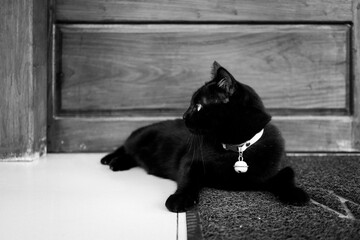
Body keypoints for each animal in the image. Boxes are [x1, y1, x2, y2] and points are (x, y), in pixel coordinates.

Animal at [101, 61, 310, 212]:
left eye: (198, 106)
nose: (184, 116)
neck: (237, 148)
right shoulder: (190, 161)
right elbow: (188, 179)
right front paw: (181, 198)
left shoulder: (279, 168)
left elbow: (287, 176)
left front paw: (297, 194)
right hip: (140, 137)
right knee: (126, 147)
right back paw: (111, 160)